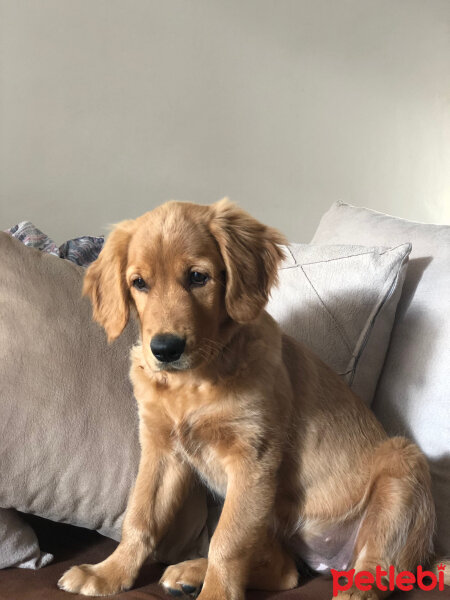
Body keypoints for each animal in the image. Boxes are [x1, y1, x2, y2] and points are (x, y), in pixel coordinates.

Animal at [58, 199, 442, 596]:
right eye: (139, 283)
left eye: (198, 277)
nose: (164, 349)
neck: (194, 381)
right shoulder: (161, 451)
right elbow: (140, 519)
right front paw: (107, 573)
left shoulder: (253, 460)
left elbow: (226, 542)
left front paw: (214, 595)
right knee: (286, 573)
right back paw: (190, 572)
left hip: (401, 472)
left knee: (379, 563)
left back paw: (356, 588)